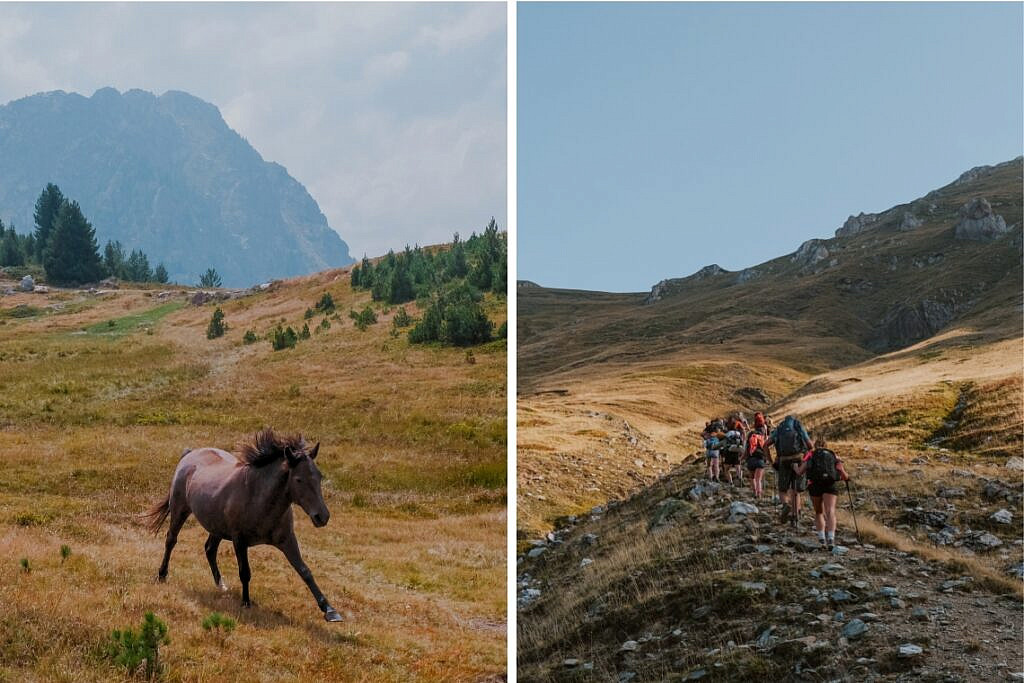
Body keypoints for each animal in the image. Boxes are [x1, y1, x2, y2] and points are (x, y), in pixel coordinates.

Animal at [146, 430, 344, 622]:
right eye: (298, 479)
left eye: (319, 476)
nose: (322, 516)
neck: (259, 499)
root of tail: (190, 454)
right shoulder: (239, 540)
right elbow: (245, 572)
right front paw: (246, 602)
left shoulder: (287, 539)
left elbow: (305, 571)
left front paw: (330, 611)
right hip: (179, 510)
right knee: (171, 540)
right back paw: (162, 575)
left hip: (216, 526)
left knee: (210, 549)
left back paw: (221, 585)